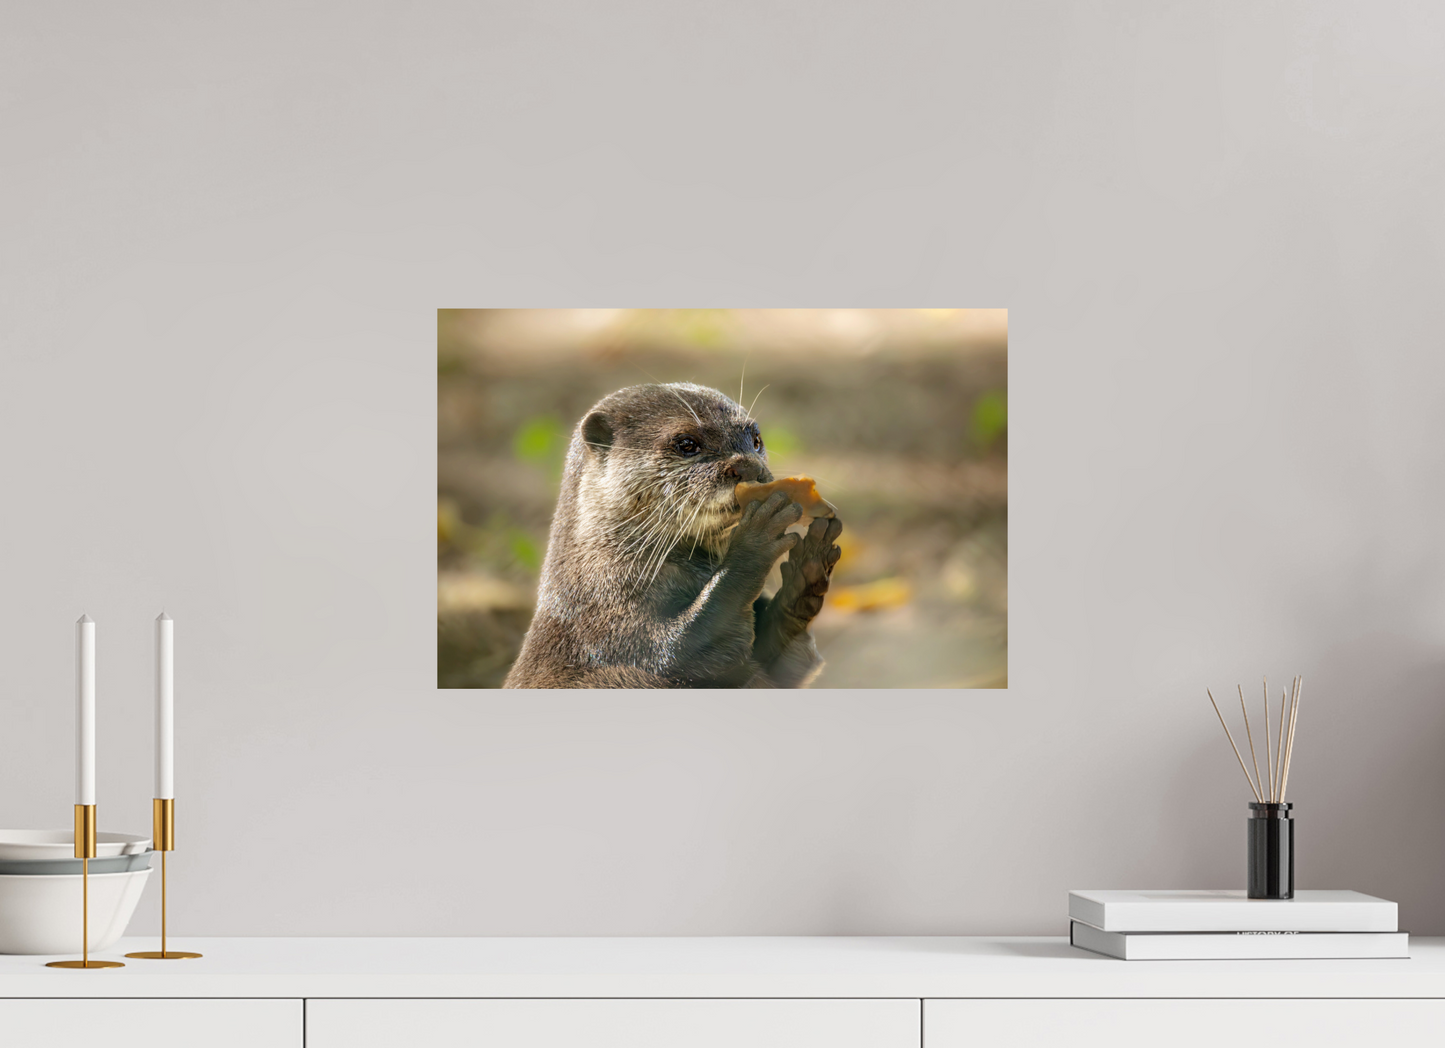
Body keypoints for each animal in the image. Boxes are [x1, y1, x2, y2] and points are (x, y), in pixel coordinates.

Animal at [503, 383, 843, 688]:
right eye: (687, 444)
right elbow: (680, 651)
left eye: (756, 440)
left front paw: (807, 569)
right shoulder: (608, 625)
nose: (749, 467)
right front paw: (756, 539)